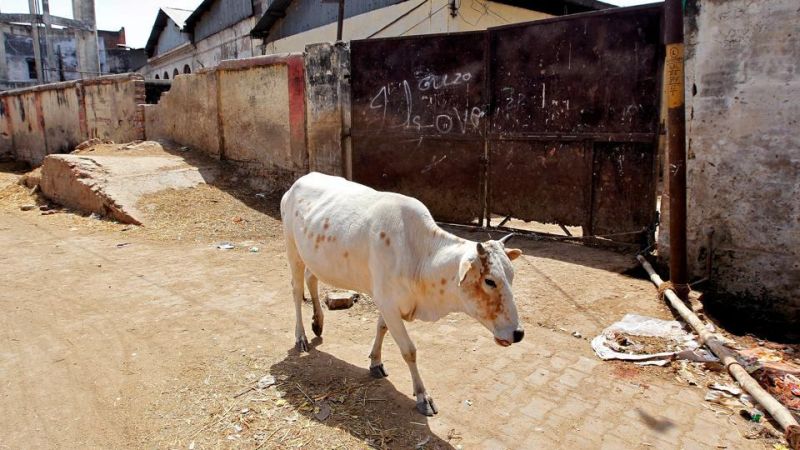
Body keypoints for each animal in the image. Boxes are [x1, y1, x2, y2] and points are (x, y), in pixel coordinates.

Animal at [280, 172, 525, 416]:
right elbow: (409, 350)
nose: (519, 333)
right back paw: (301, 337)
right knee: (296, 290)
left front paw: (375, 362)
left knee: (311, 278)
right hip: (293, 250)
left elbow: (381, 327)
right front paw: (423, 396)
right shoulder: (387, 302)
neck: (418, 255)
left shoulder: (387, 303)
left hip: (314, 258)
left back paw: (318, 323)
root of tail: (297, 183)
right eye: (490, 281)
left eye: (511, 275)